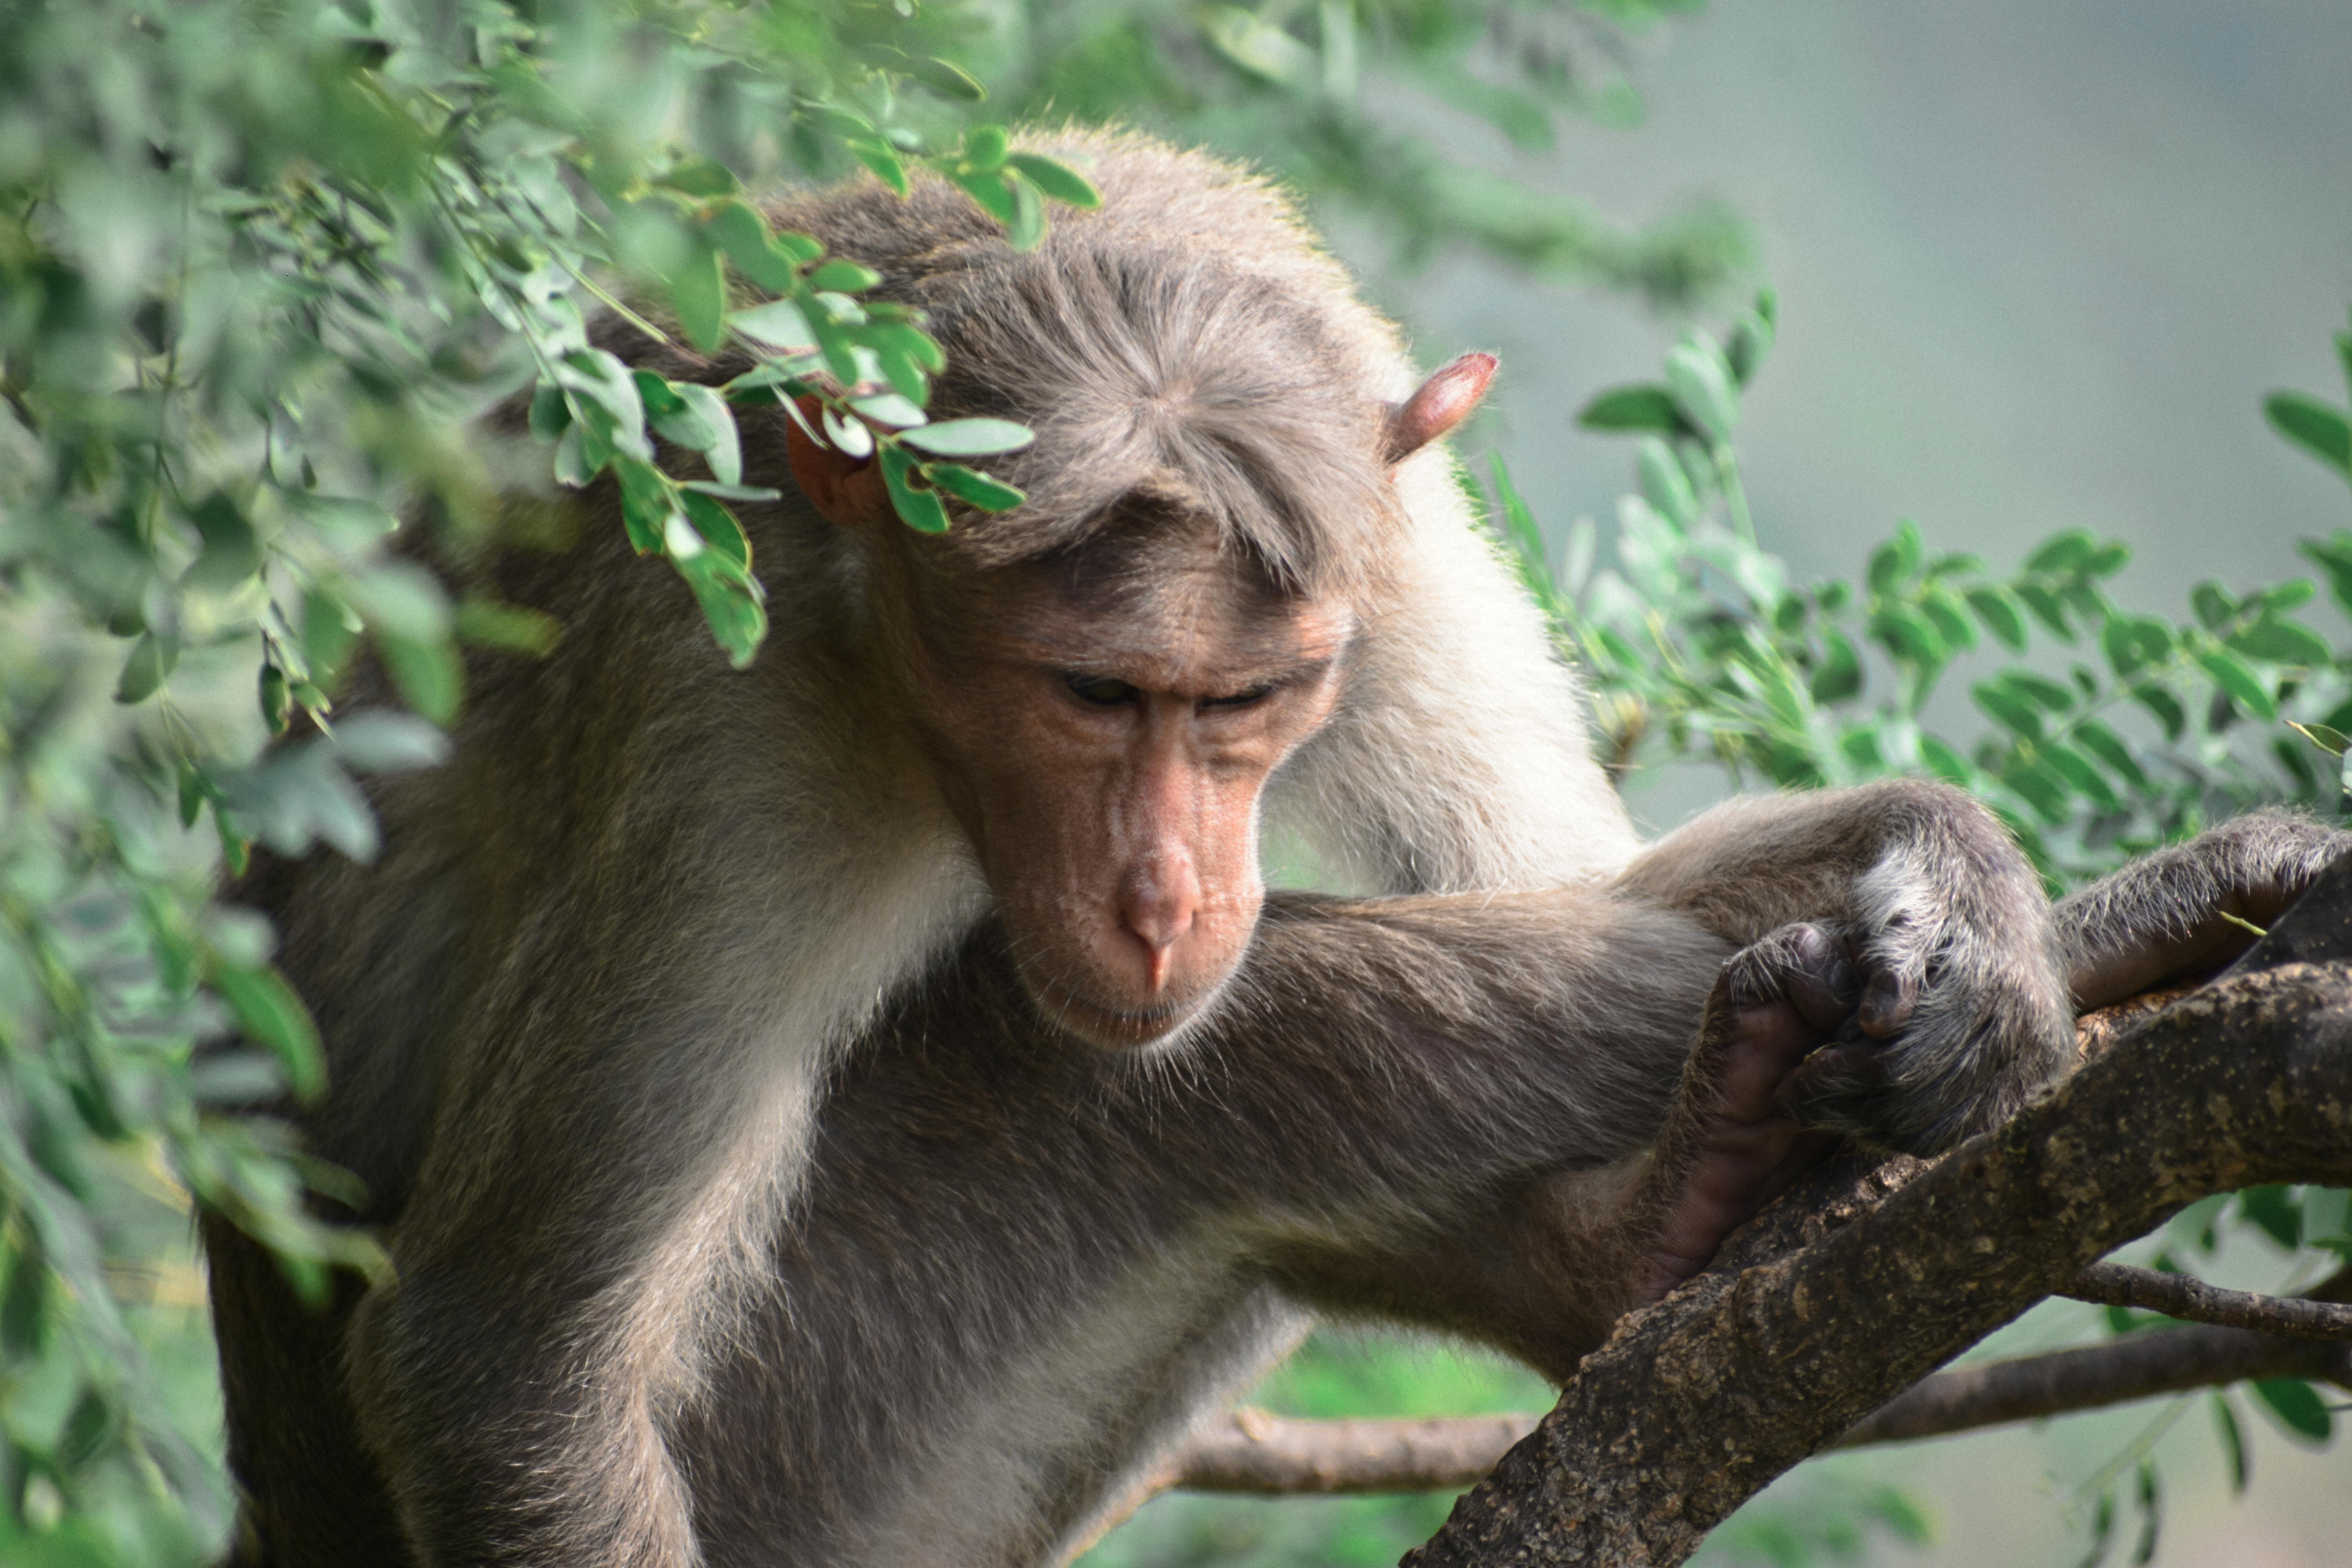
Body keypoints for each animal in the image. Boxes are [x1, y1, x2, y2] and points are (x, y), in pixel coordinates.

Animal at [207, 138, 2352, 1568]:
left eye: (1248, 699)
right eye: (1091, 692)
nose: (1166, 890)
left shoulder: (1385, 547)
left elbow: (1575, 868)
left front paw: (1974, 882)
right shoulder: (731, 717)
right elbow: (510, 1361)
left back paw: (1666, 1214)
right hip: (831, 1446)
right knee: (1184, 1064)